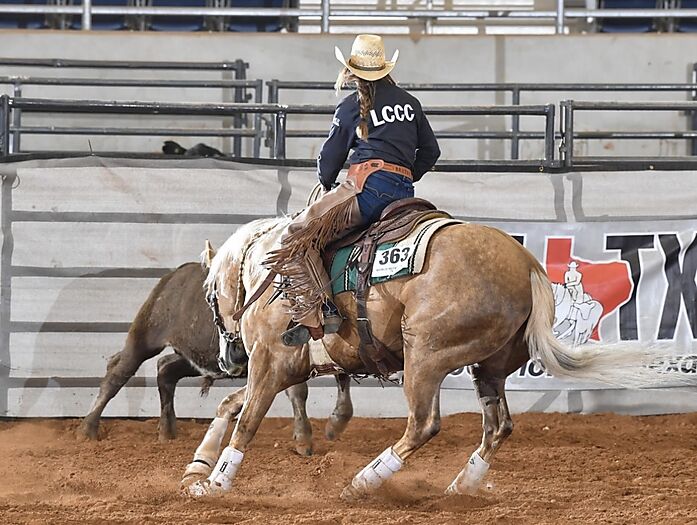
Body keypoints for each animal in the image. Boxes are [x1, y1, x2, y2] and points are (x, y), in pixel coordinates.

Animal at [79, 259, 353, 455]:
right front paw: (304, 440)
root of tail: (175, 275)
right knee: (119, 370)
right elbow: (298, 392)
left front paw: (333, 423)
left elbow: (341, 378)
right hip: (145, 335)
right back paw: (88, 428)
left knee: (166, 369)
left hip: (198, 360)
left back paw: (167, 431)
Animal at [180, 216, 671, 499]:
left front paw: (215, 483)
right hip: (487, 368)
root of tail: (528, 265)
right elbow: (231, 406)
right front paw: (196, 466)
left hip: (425, 355)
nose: (228, 359)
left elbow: (247, 420)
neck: (269, 271)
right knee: (498, 426)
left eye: (209, 297)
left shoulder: (272, 362)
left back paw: (362, 482)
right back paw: (460, 487)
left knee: (423, 425)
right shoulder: (285, 367)